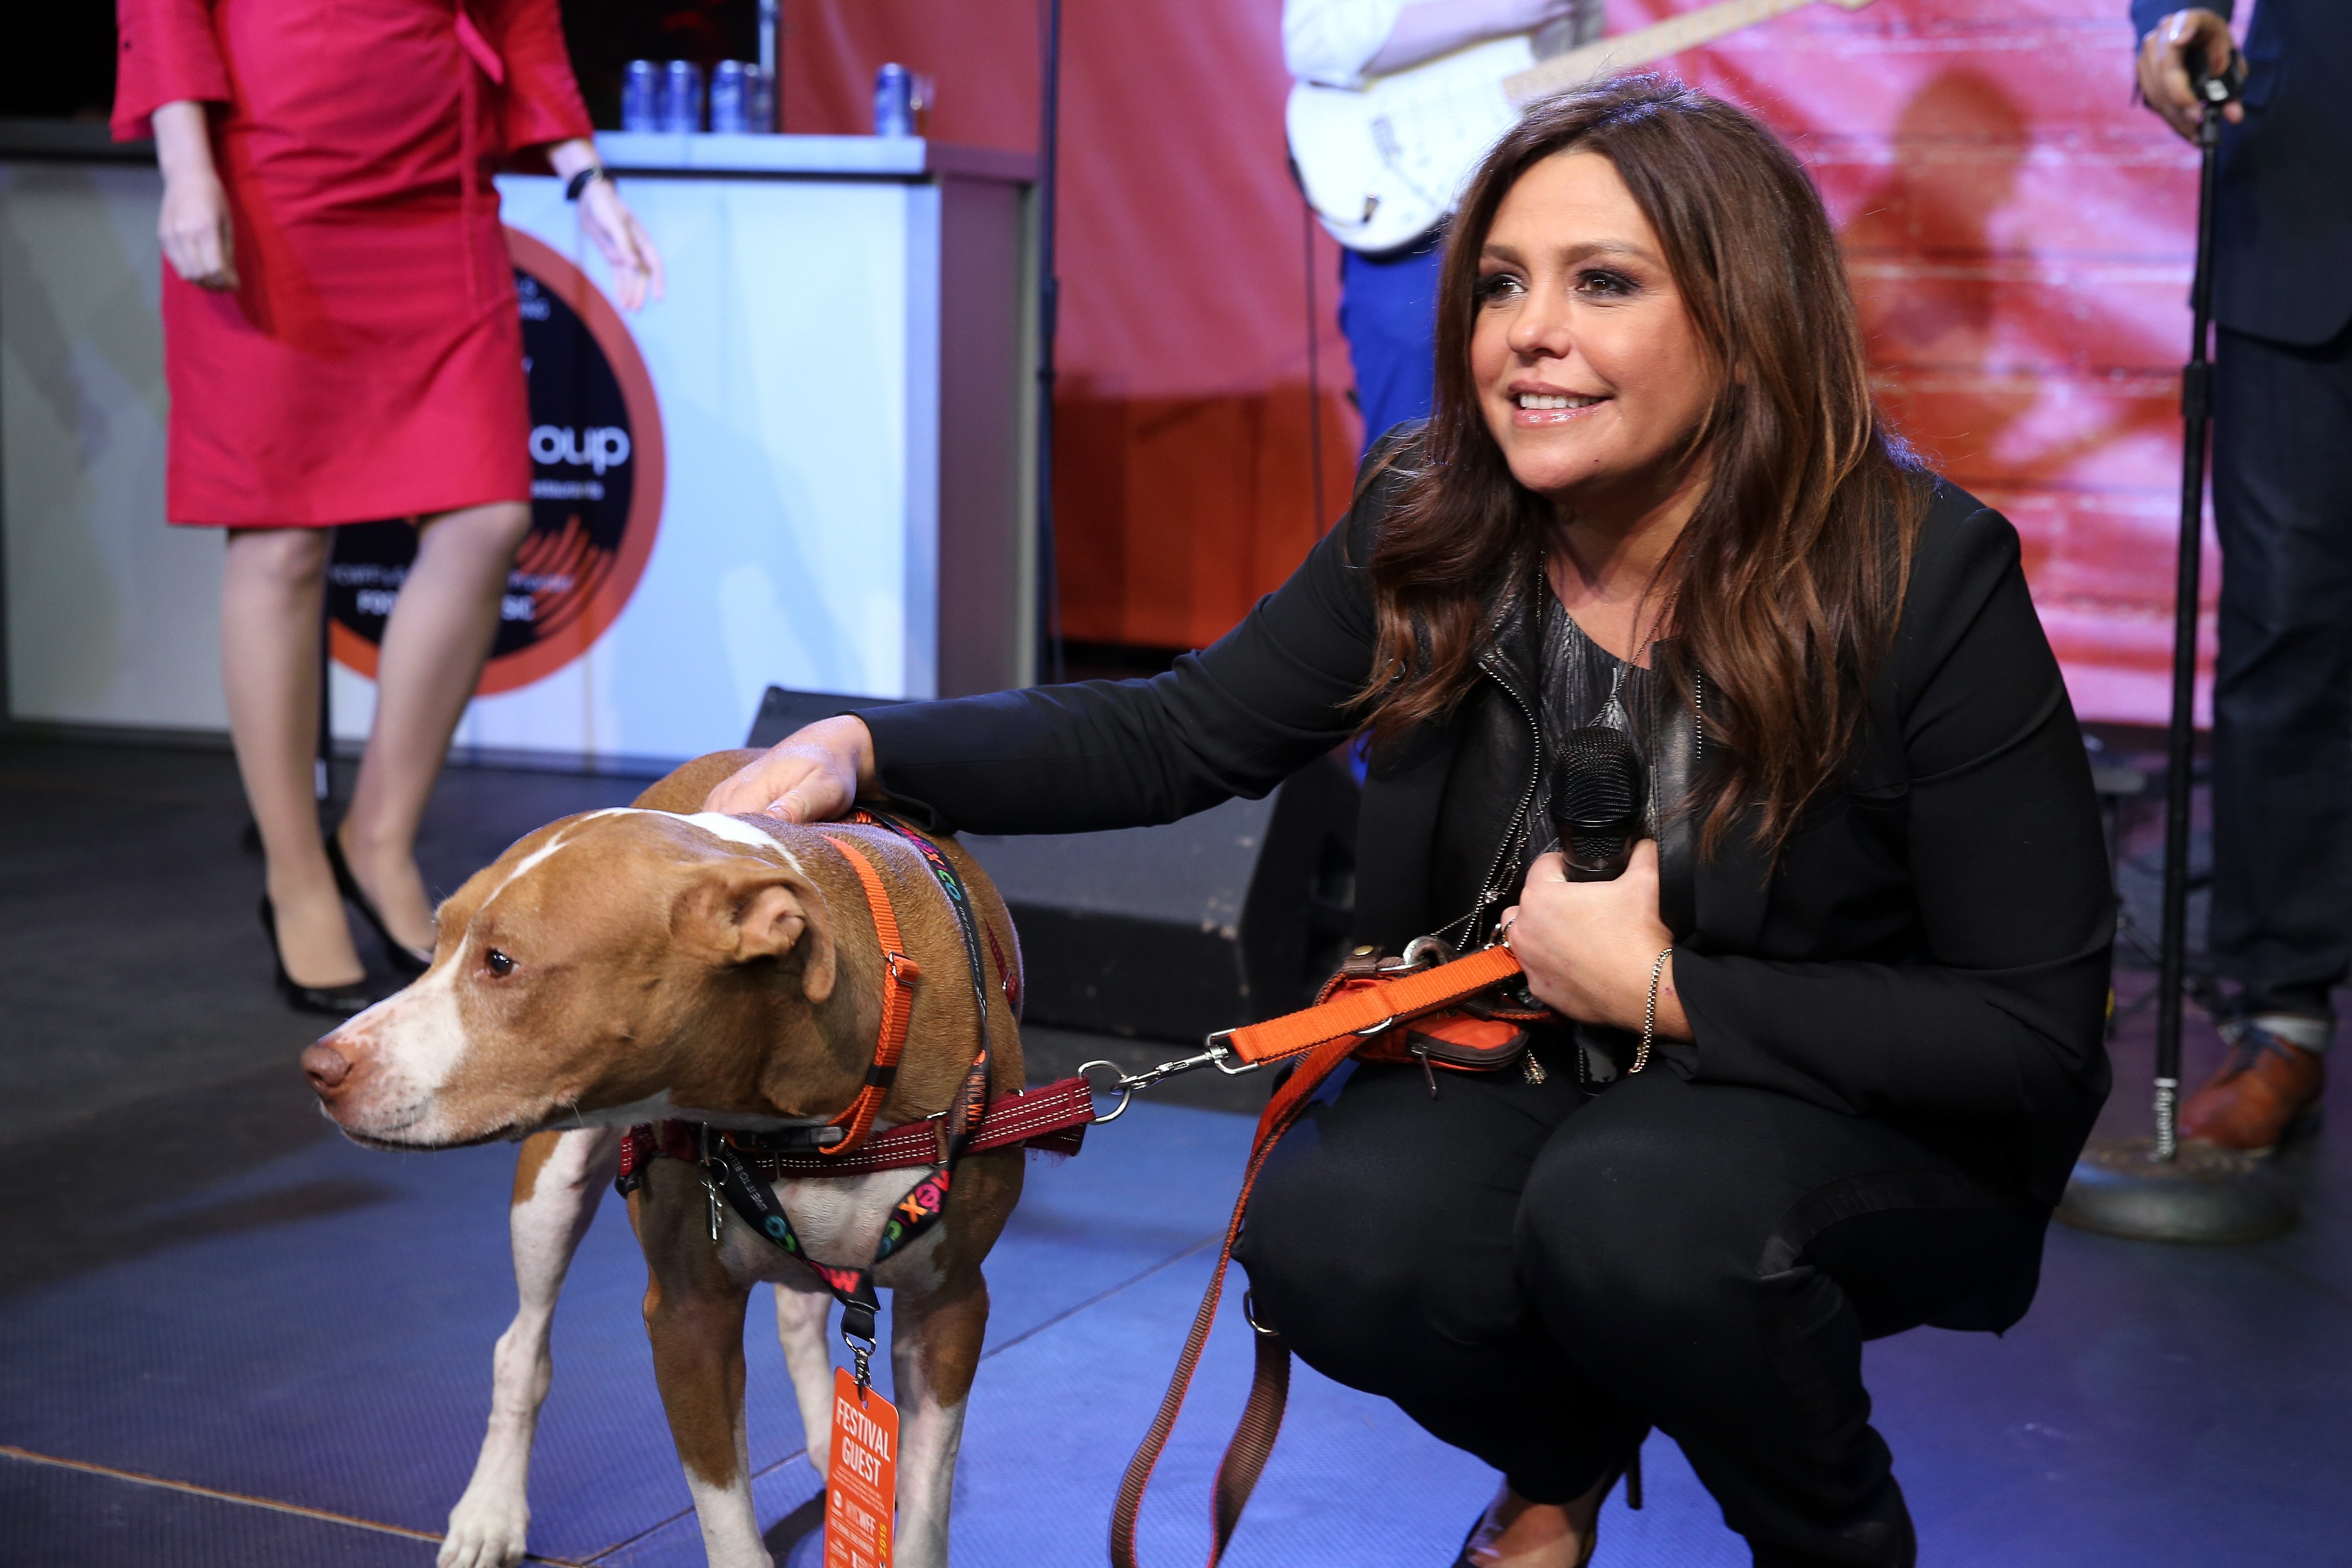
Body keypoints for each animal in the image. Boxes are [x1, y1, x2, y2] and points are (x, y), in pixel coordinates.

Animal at [301, 752, 1021, 1561]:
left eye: (500, 962)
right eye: (435, 946)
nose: (320, 1067)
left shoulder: (949, 1308)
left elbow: (925, 1519)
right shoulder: (686, 1318)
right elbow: (729, 1528)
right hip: (549, 1191)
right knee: (521, 1348)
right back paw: (490, 1511)